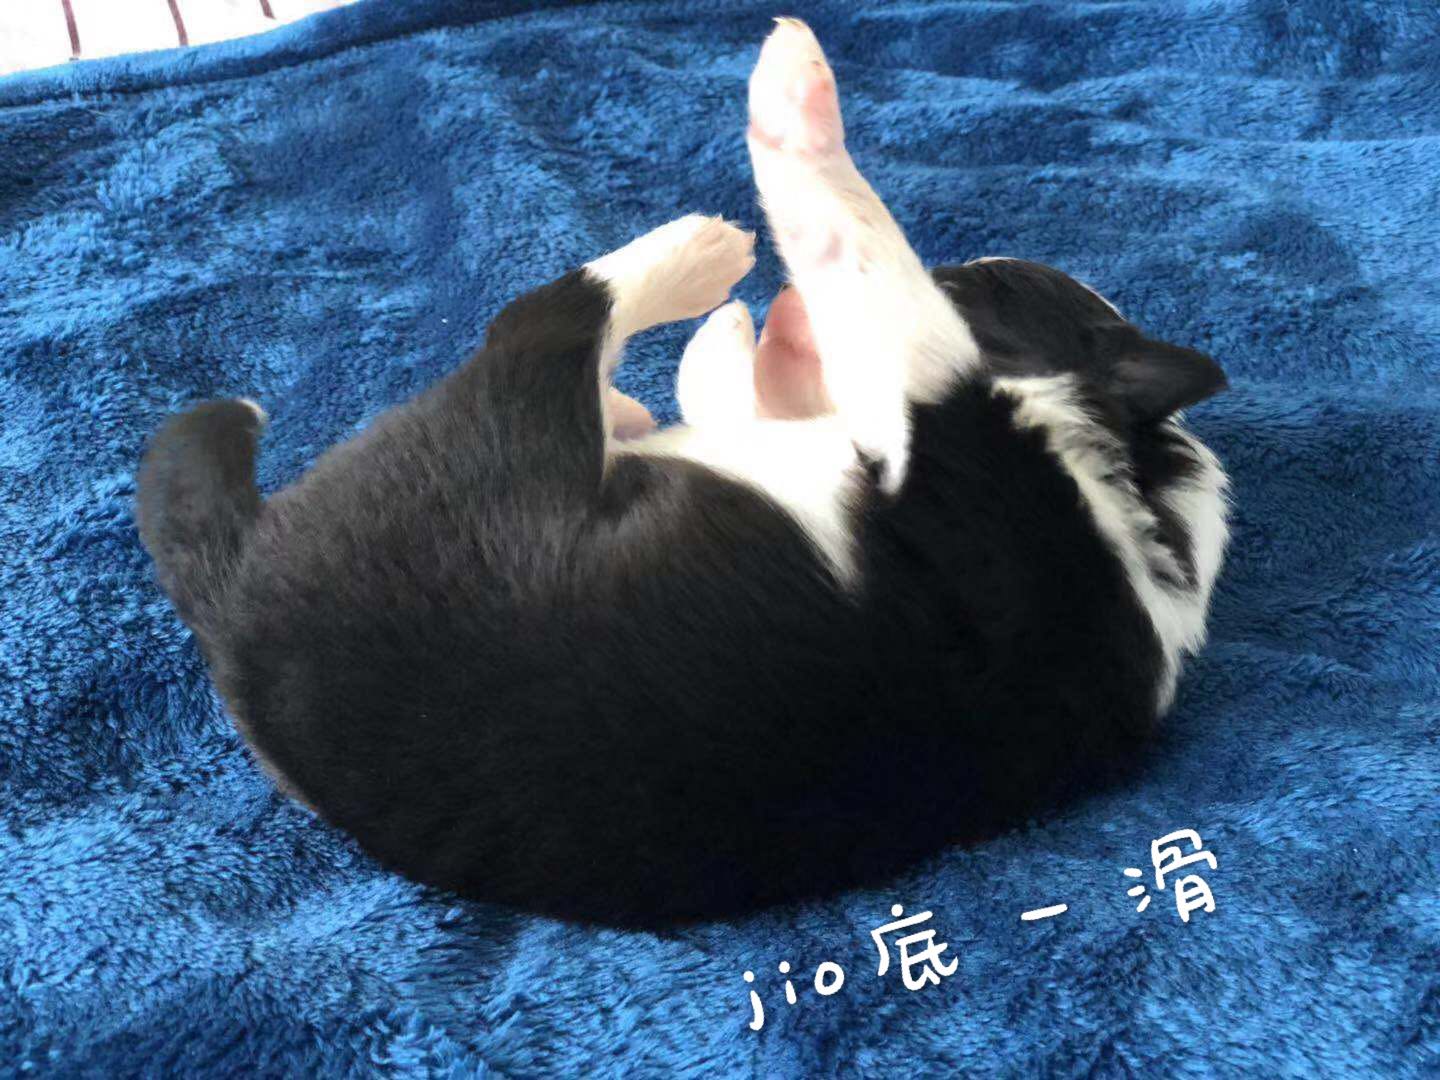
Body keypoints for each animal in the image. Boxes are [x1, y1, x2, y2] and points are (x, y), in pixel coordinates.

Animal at [137, 20, 1228, 925]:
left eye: (992, 286)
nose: (963, 262)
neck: (1125, 481)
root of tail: (233, 607)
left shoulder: (943, 432)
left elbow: (862, 253)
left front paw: (789, 130)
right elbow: (752, 381)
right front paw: (759, 335)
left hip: (494, 433)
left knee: (549, 315)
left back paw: (703, 239)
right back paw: (659, 366)